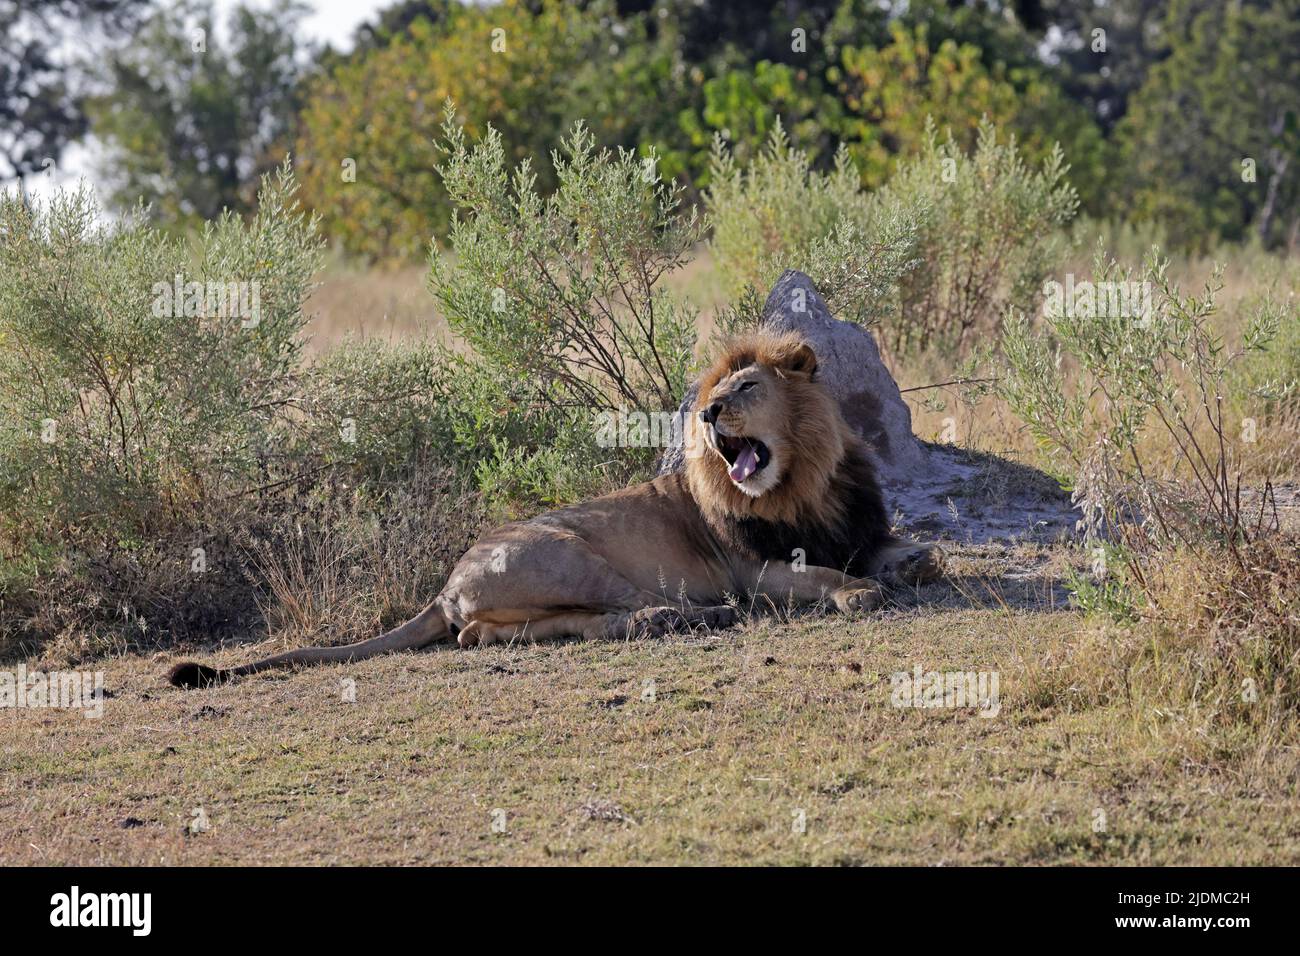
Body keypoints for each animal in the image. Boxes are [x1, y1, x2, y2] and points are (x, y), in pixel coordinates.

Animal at [167, 331, 944, 689]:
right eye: (717, 393)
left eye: (747, 387)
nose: (709, 413)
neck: (799, 482)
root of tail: (445, 585)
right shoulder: (751, 569)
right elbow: (822, 576)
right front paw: (860, 593)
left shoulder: (854, 523)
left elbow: (902, 548)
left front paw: (917, 564)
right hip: (574, 555)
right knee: (612, 616)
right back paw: (690, 618)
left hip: (530, 599)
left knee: (492, 636)